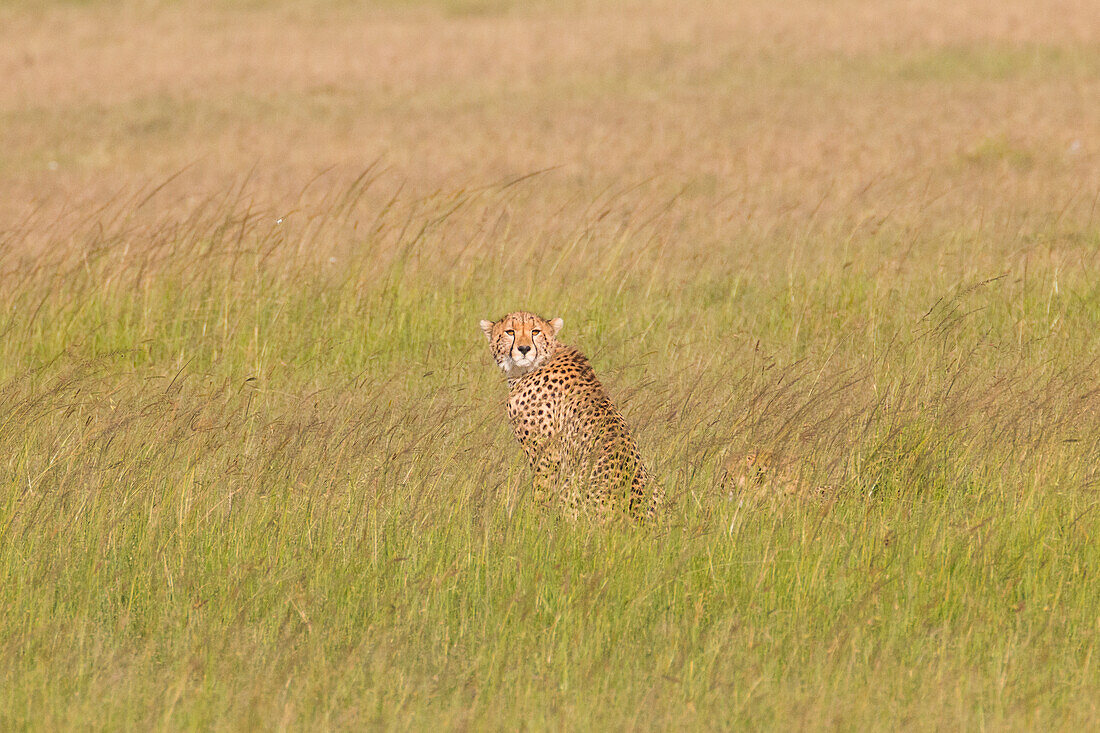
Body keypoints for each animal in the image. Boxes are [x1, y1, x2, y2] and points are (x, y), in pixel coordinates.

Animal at [477, 310, 655, 519]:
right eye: (510, 332)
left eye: (535, 331)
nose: (524, 349)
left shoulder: (546, 455)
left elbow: (541, 492)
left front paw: (534, 518)